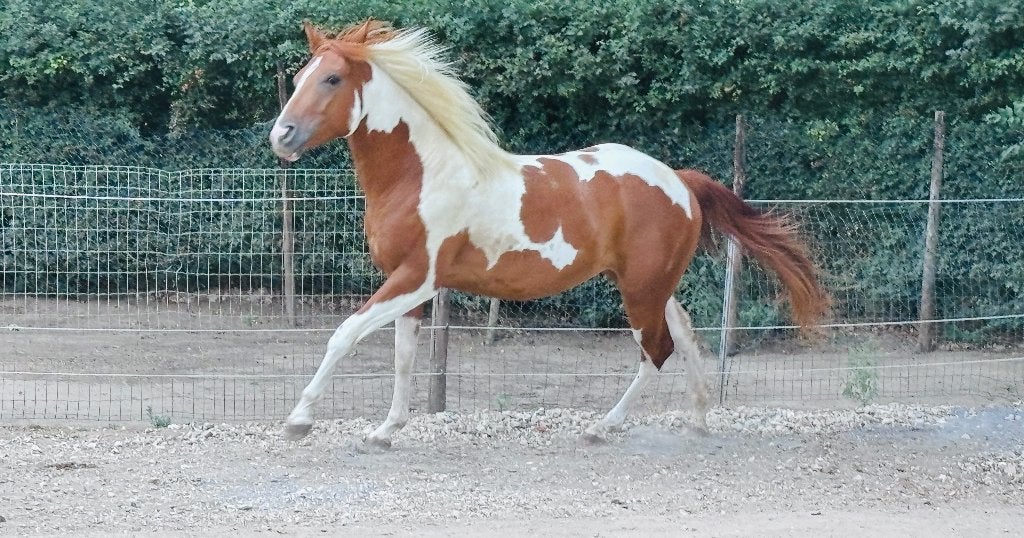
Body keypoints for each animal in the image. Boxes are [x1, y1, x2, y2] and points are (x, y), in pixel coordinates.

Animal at [269, 20, 829, 446]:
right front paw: (385, 432)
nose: (281, 136)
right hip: (651, 284)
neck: (423, 175)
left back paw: (601, 428)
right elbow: (405, 359)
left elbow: (344, 335)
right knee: (687, 337)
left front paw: (299, 420)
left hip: (640, 291)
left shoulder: (416, 278)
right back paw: (697, 420)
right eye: (298, 76)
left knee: (656, 352)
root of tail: (680, 181)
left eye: (333, 78)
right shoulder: (411, 288)